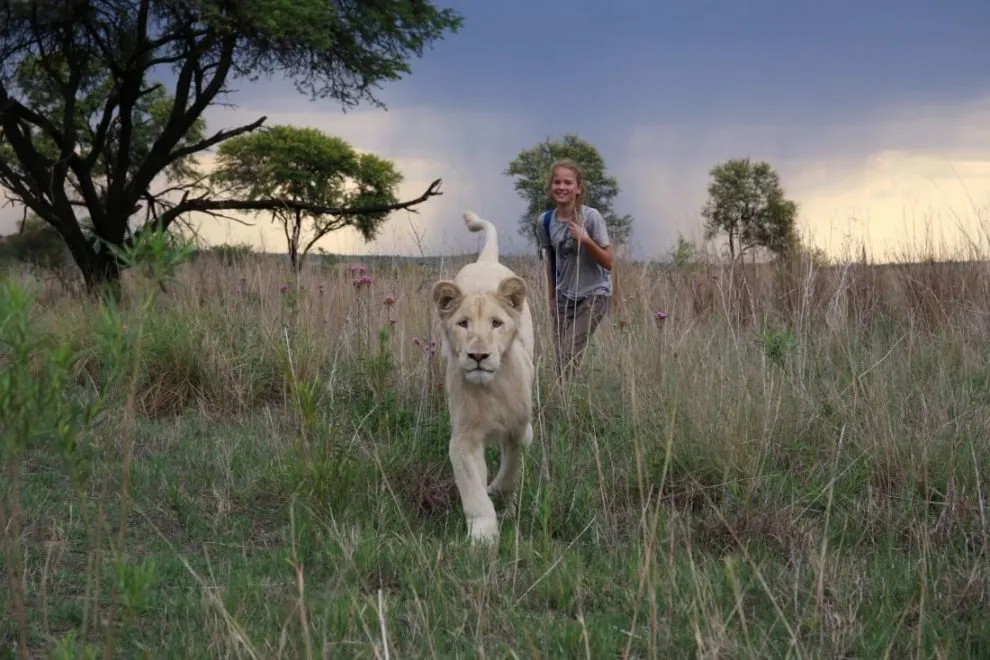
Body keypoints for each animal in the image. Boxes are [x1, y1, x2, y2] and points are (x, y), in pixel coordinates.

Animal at [430, 210, 536, 545]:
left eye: (496, 323)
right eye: (463, 323)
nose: (478, 355)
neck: (491, 388)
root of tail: (485, 261)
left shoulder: (520, 429)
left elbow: (512, 468)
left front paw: (499, 492)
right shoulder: (463, 438)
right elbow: (473, 490)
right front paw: (482, 537)